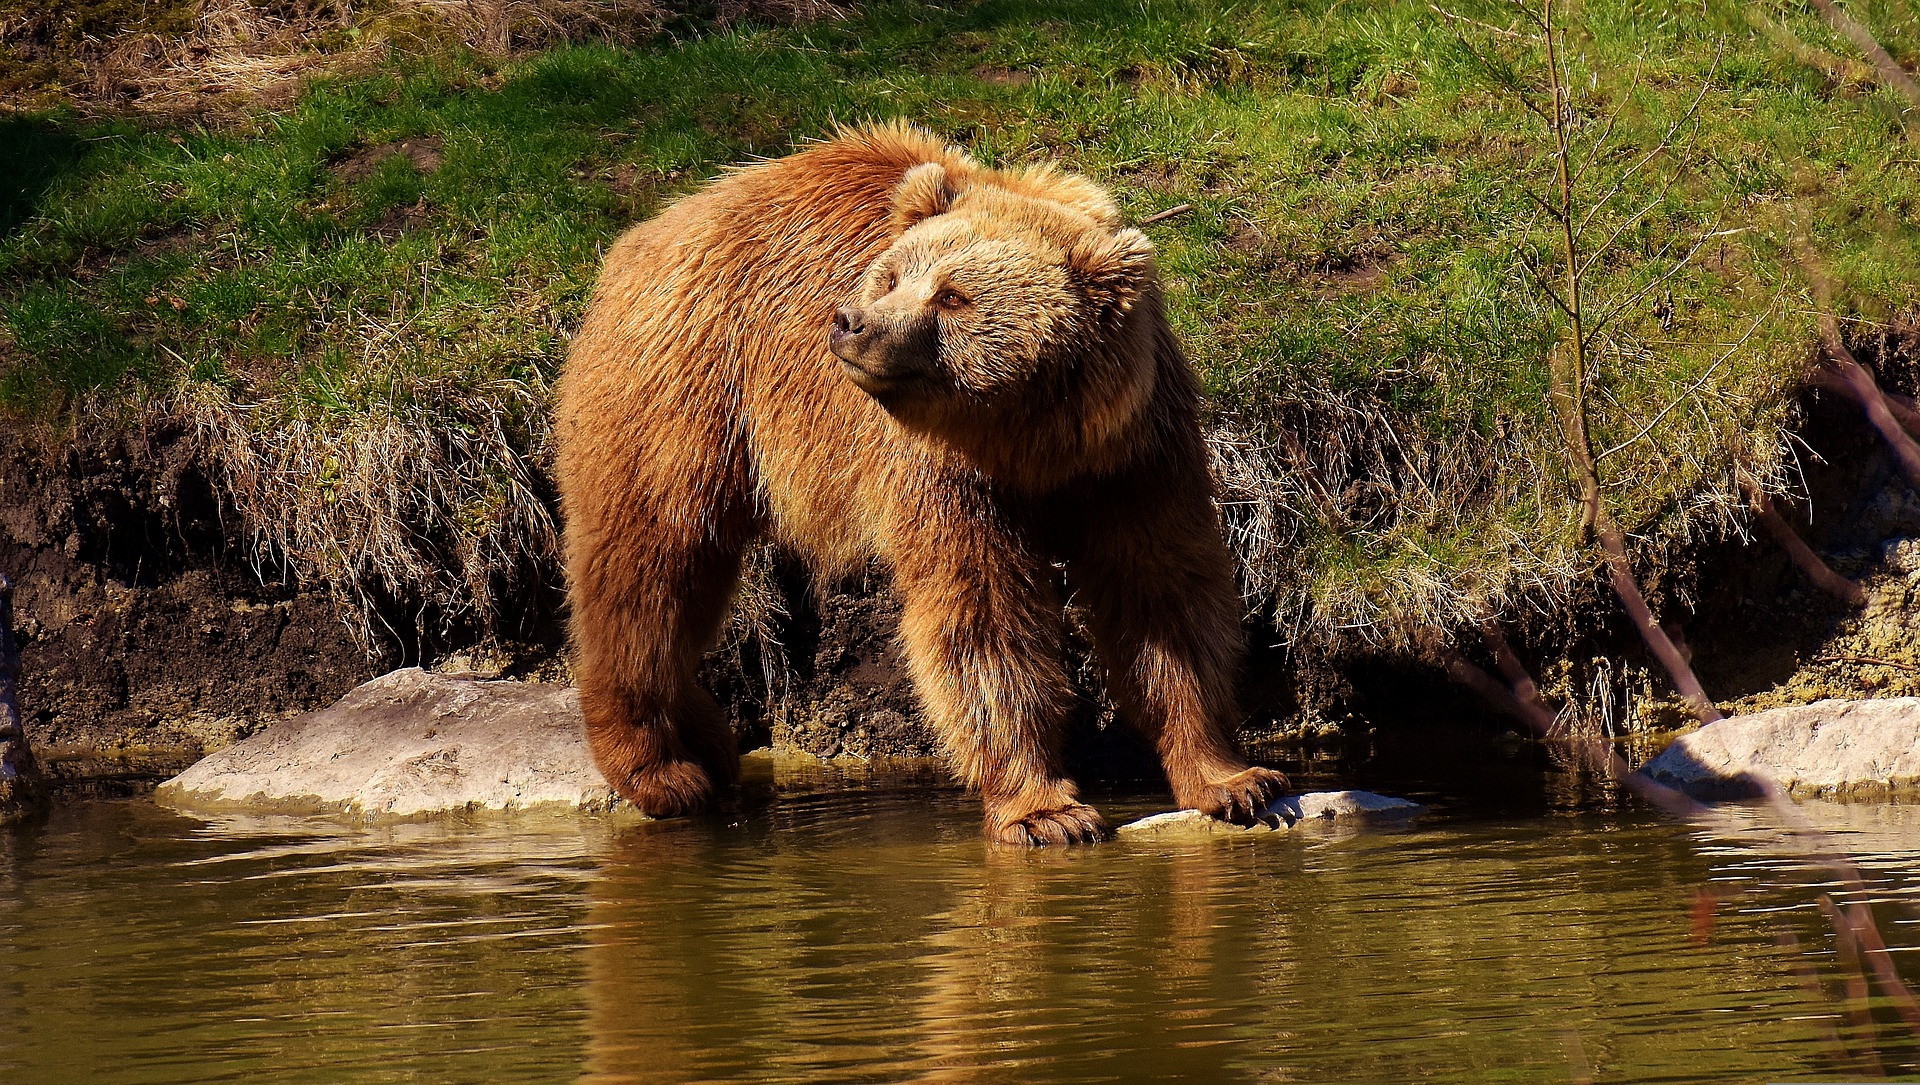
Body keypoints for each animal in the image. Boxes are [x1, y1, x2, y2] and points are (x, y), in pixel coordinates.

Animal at [556, 120, 1282, 844]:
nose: (852, 322)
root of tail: (644, 234)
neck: (1030, 438)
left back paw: (707, 740)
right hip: (685, 390)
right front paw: (1045, 809)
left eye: (953, 295)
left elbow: (1163, 597)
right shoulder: (945, 472)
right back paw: (659, 768)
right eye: (892, 275)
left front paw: (1232, 779)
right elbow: (980, 618)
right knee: (650, 567)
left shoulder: (1132, 453)